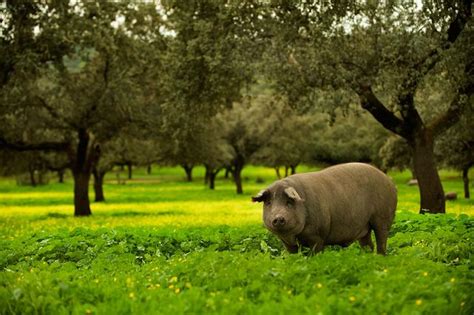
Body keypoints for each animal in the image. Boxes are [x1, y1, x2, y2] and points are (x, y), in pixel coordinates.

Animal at [252, 164, 396, 256]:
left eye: (289, 202)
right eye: (269, 203)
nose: (278, 218)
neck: (293, 236)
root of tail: (389, 180)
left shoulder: (317, 236)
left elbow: (315, 253)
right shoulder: (287, 244)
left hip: (383, 217)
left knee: (382, 239)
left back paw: (380, 256)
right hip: (364, 226)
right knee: (368, 244)